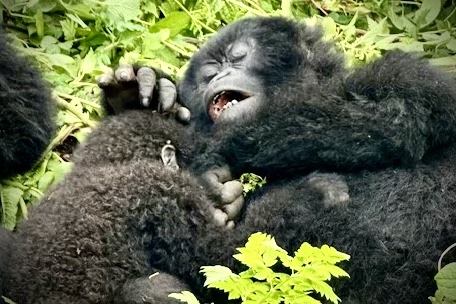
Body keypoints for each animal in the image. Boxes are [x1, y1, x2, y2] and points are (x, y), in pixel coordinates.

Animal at [0, 17, 456, 304]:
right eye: (207, 72)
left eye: (238, 56)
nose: (216, 78)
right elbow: (223, 259)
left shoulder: (410, 73)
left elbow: (393, 115)